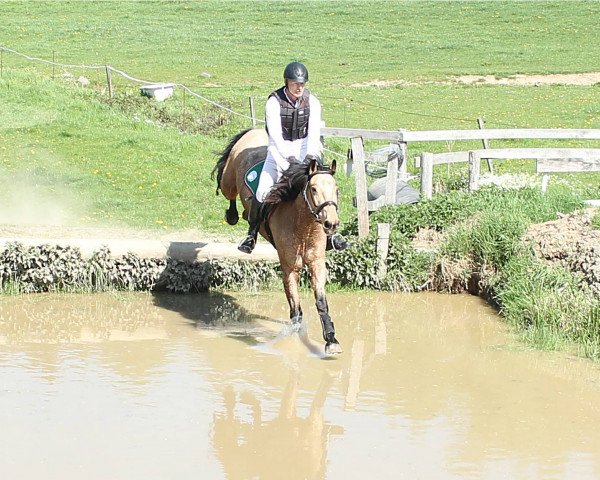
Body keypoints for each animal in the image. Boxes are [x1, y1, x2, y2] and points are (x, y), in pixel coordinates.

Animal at [212, 129, 342, 354]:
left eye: (336, 189)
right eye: (314, 189)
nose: (331, 224)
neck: (304, 226)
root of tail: (254, 130)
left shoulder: (317, 264)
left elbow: (321, 301)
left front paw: (331, 339)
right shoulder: (290, 267)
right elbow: (296, 309)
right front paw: (295, 338)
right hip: (229, 180)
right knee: (227, 188)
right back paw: (234, 217)